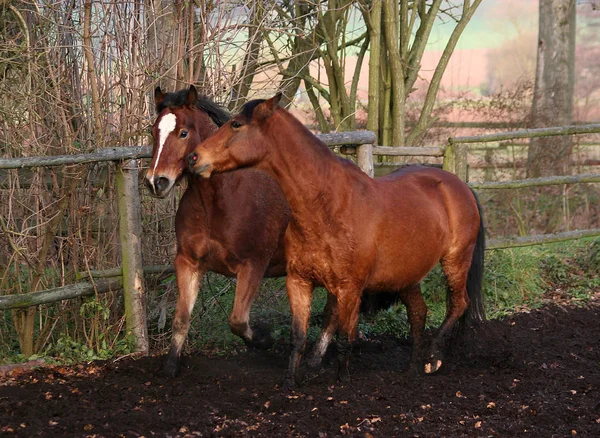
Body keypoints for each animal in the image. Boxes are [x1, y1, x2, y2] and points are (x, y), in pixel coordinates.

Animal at [144, 85, 290, 376]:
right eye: (153, 132)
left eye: (183, 133)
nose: (156, 181)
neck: (218, 202)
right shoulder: (188, 262)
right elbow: (181, 318)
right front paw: (171, 366)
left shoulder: (253, 265)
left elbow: (237, 321)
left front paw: (264, 340)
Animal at [190, 94, 486, 388]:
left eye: (236, 124)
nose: (195, 157)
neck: (327, 207)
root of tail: (460, 186)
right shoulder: (299, 281)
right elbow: (298, 337)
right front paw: (291, 382)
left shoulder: (350, 289)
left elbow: (345, 338)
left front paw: (342, 380)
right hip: (407, 274)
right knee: (418, 313)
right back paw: (412, 368)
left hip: (456, 260)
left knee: (458, 304)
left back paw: (432, 357)